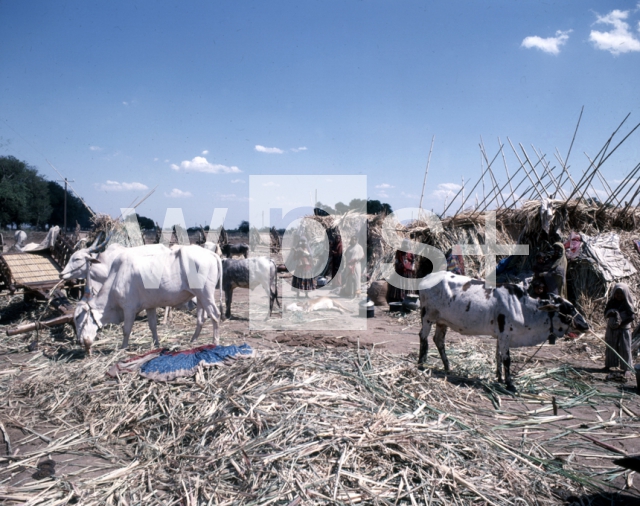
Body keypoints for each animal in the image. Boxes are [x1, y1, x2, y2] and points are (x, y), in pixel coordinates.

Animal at [74, 243, 224, 354]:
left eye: (78, 317)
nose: (80, 341)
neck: (116, 278)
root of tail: (212, 254)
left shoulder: (129, 308)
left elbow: (126, 329)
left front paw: (123, 348)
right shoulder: (150, 306)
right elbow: (153, 326)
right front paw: (156, 344)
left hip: (206, 294)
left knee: (215, 315)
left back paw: (215, 342)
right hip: (200, 296)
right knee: (201, 318)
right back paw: (193, 340)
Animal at [418, 272, 588, 392]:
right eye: (568, 309)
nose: (585, 325)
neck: (523, 307)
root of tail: (428, 276)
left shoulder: (500, 336)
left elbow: (498, 356)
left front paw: (499, 378)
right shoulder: (506, 334)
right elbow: (506, 359)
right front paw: (510, 384)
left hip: (442, 321)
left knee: (438, 340)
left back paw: (447, 367)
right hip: (427, 316)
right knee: (423, 337)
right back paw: (421, 364)